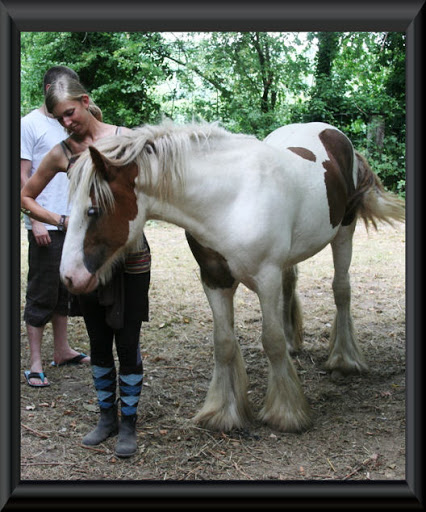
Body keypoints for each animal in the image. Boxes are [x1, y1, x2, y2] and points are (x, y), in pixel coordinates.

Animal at [59, 122, 402, 434]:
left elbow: (271, 340)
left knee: (341, 290)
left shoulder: (266, 277)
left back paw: (345, 359)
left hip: (344, 231)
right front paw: (223, 413)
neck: (230, 199)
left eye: (93, 210)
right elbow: (223, 343)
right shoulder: (214, 279)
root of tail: (335, 134)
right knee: (291, 286)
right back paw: (296, 344)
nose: (70, 277)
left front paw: (286, 412)